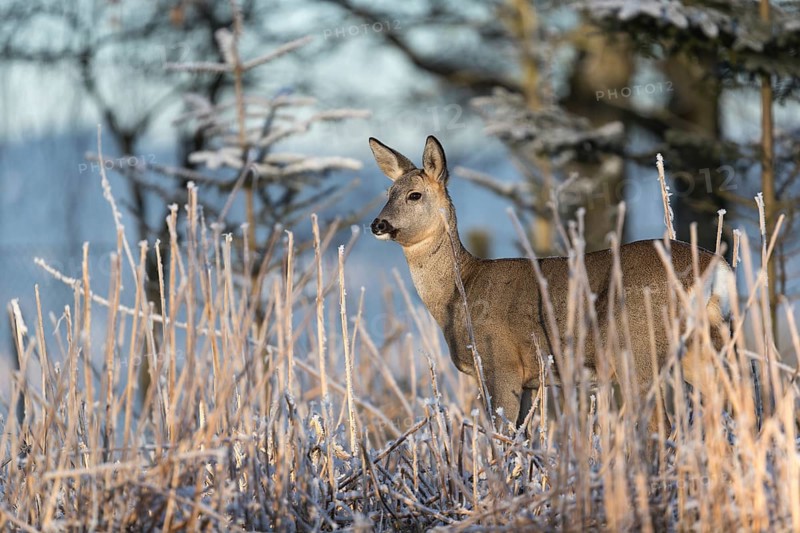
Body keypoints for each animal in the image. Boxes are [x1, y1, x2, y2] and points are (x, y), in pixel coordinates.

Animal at [368, 135, 735, 434]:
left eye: (414, 195)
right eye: (388, 192)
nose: (378, 224)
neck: (461, 290)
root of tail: (715, 268)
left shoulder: (500, 365)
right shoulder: (532, 380)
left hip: (638, 349)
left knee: (664, 425)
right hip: (705, 343)